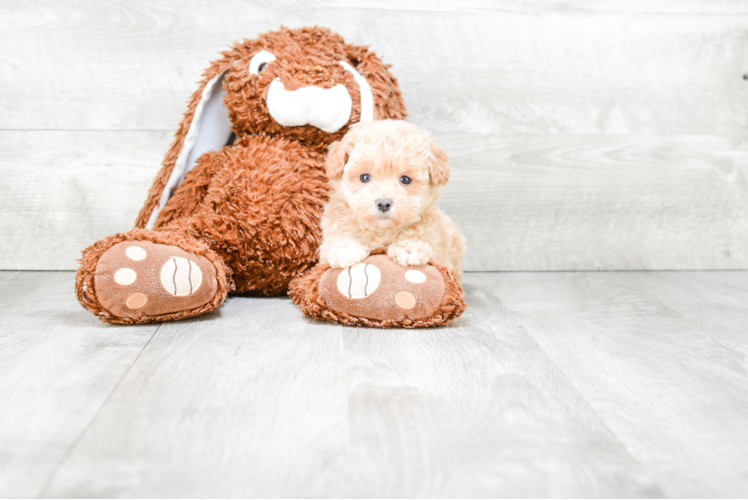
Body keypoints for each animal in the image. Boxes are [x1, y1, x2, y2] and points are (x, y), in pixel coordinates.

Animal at [318, 119, 464, 280]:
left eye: (405, 179)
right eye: (365, 177)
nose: (383, 203)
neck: (382, 231)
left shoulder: (437, 247)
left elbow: (421, 237)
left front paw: (409, 249)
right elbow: (337, 238)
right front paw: (346, 250)